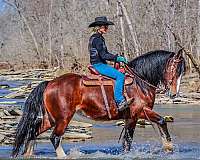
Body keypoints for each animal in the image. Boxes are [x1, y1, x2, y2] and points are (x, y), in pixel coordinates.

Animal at [11, 48, 186, 158]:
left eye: (182, 72)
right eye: (175, 69)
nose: (174, 94)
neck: (139, 81)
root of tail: (50, 83)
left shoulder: (132, 117)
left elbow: (131, 139)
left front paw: (167, 148)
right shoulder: (137, 113)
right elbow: (158, 123)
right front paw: (169, 147)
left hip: (51, 118)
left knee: (33, 131)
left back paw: (27, 153)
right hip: (63, 118)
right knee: (54, 137)